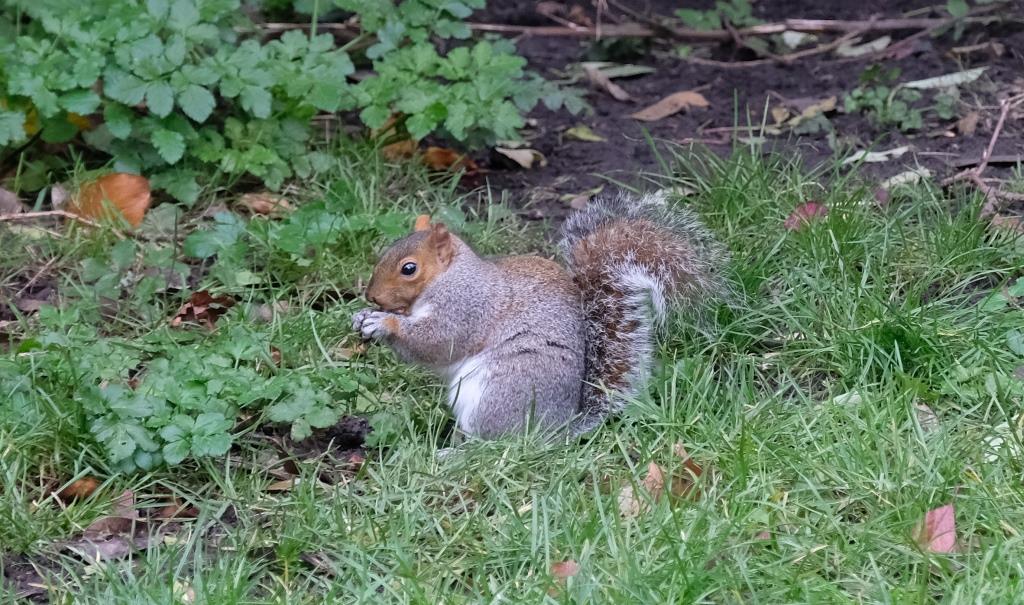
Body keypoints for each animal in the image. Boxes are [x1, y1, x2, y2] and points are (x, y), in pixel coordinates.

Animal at [352, 191, 727, 438]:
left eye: (409, 269)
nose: (372, 296)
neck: (447, 278)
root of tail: (557, 428)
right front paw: (362, 316)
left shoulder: (467, 306)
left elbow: (438, 341)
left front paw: (384, 323)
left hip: (502, 391)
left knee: (497, 444)